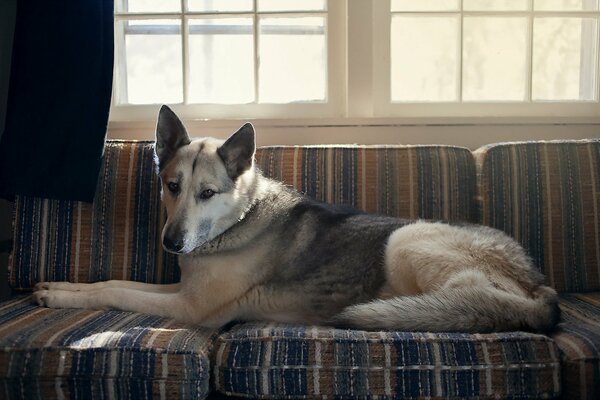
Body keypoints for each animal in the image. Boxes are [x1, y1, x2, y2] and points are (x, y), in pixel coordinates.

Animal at [31, 104, 556, 332]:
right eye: (172, 187)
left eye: (207, 193)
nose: (171, 244)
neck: (239, 222)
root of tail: (539, 288)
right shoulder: (180, 291)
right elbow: (110, 284)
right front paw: (61, 287)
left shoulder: (189, 307)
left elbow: (118, 292)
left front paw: (59, 297)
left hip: (406, 239)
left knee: (459, 302)